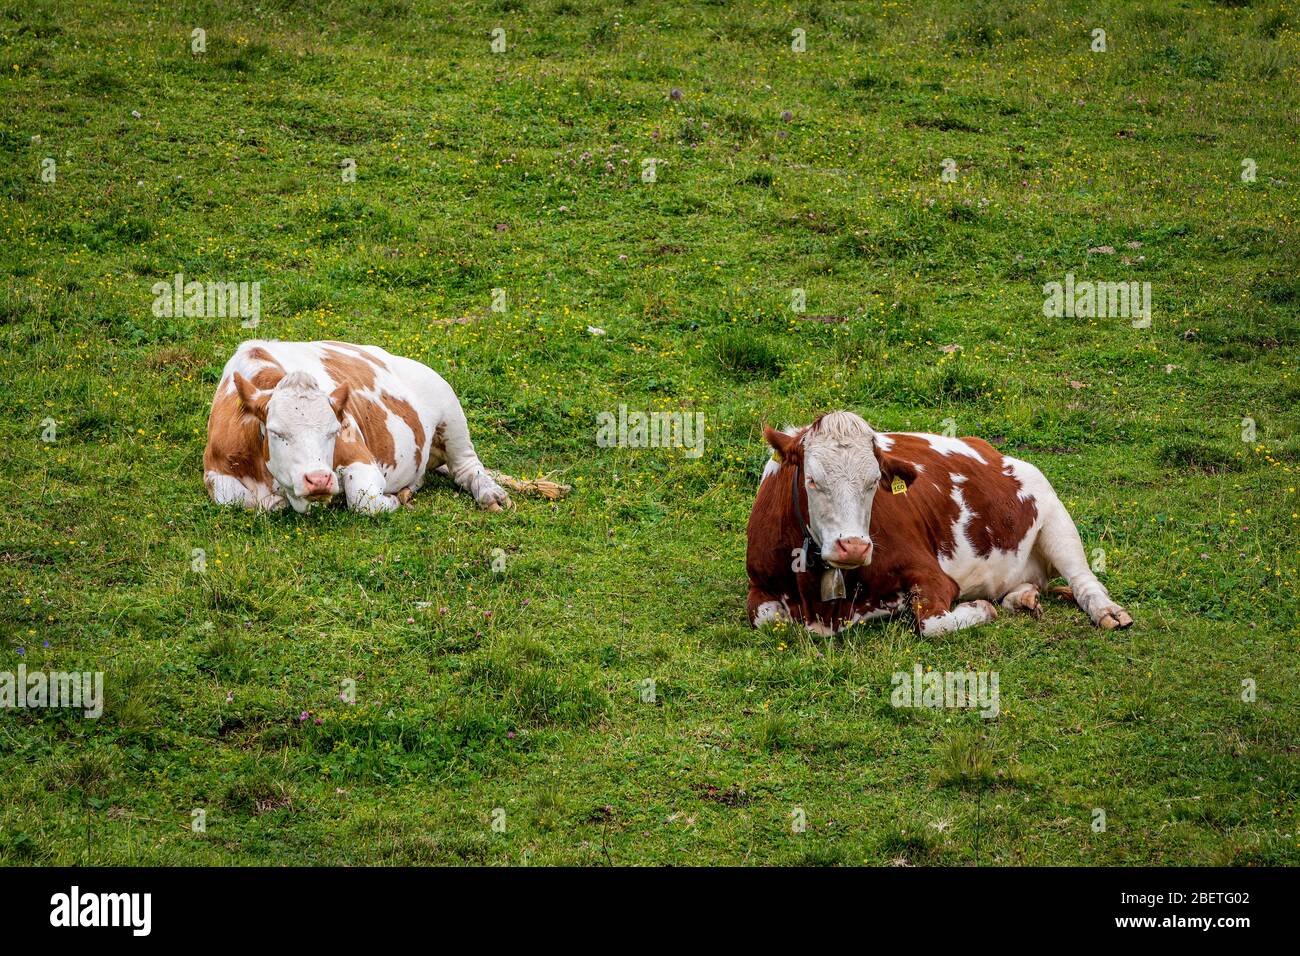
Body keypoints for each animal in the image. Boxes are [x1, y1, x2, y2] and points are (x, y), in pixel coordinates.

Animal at [203, 340, 565, 514]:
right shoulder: (215, 472)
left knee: (467, 467)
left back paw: (490, 495)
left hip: (451, 411)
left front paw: (394, 499)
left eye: (333, 431)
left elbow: (364, 500)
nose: (319, 480)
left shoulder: (359, 456)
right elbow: (240, 500)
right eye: (277, 432)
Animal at [746, 411, 1133, 636]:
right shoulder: (759, 585)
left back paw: (1108, 611)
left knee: (1083, 580)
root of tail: (991, 450)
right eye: (812, 480)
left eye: (874, 482)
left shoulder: (933, 576)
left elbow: (931, 623)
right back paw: (1023, 596)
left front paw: (979, 608)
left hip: (1055, 517)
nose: (854, 546)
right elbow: (767, 618)